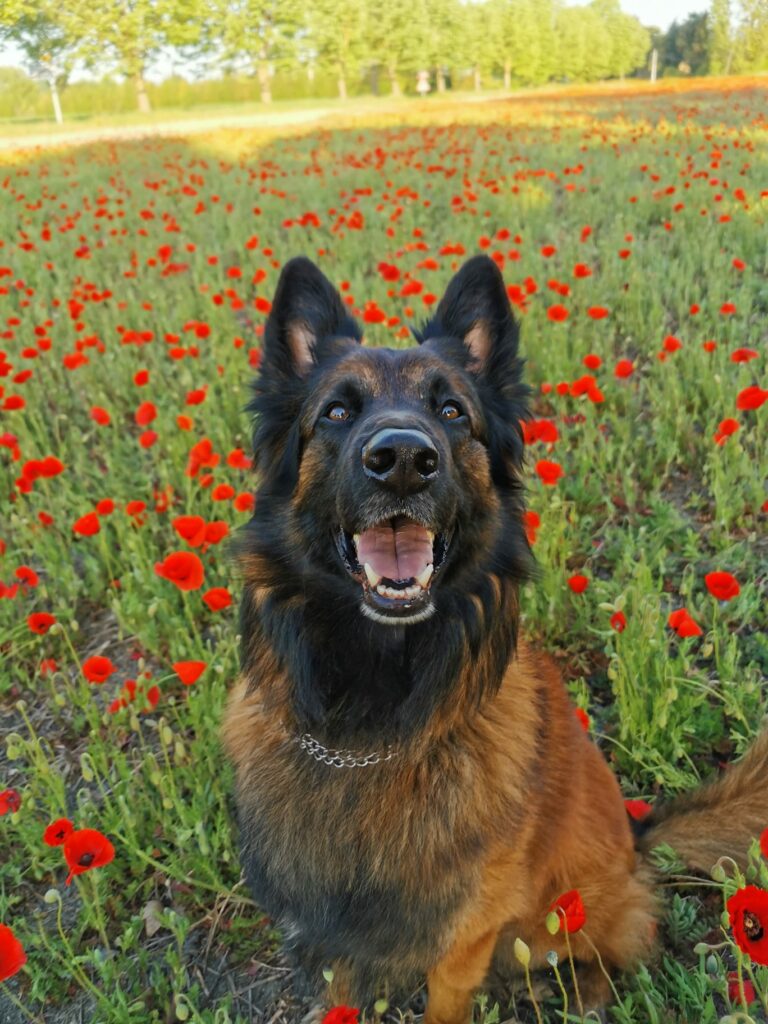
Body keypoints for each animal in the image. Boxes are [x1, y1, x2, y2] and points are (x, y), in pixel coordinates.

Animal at [222, 256, 768, 1024]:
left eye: (452, 412)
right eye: (336, 411)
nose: (402, 458)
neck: (373, 727)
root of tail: (637, 837)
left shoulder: (465, 940)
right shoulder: (335, 943)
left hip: (570, 916)